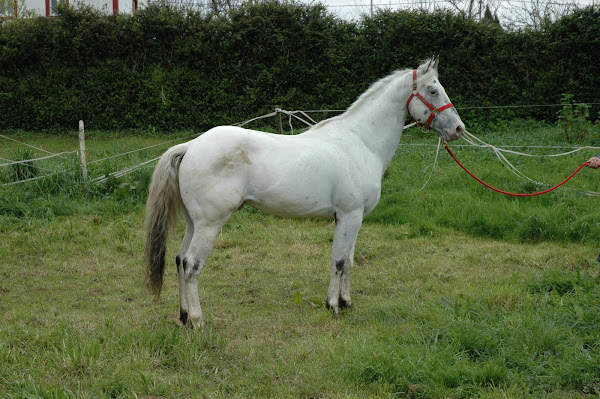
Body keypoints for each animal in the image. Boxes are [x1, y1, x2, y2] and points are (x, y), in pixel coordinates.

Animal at [144, 57, 464, 328]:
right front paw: (332, 306)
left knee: (179, 260)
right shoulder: (348, 215)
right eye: (433, 90)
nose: (459, 129)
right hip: (210, 224)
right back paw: (198, 320)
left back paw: (184, 316)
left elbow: (349, 260)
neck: (360, 142)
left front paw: (346, 302)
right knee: (191, 265)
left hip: (193, 223)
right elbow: (338, 261)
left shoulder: (355, 218)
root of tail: (190, 146)